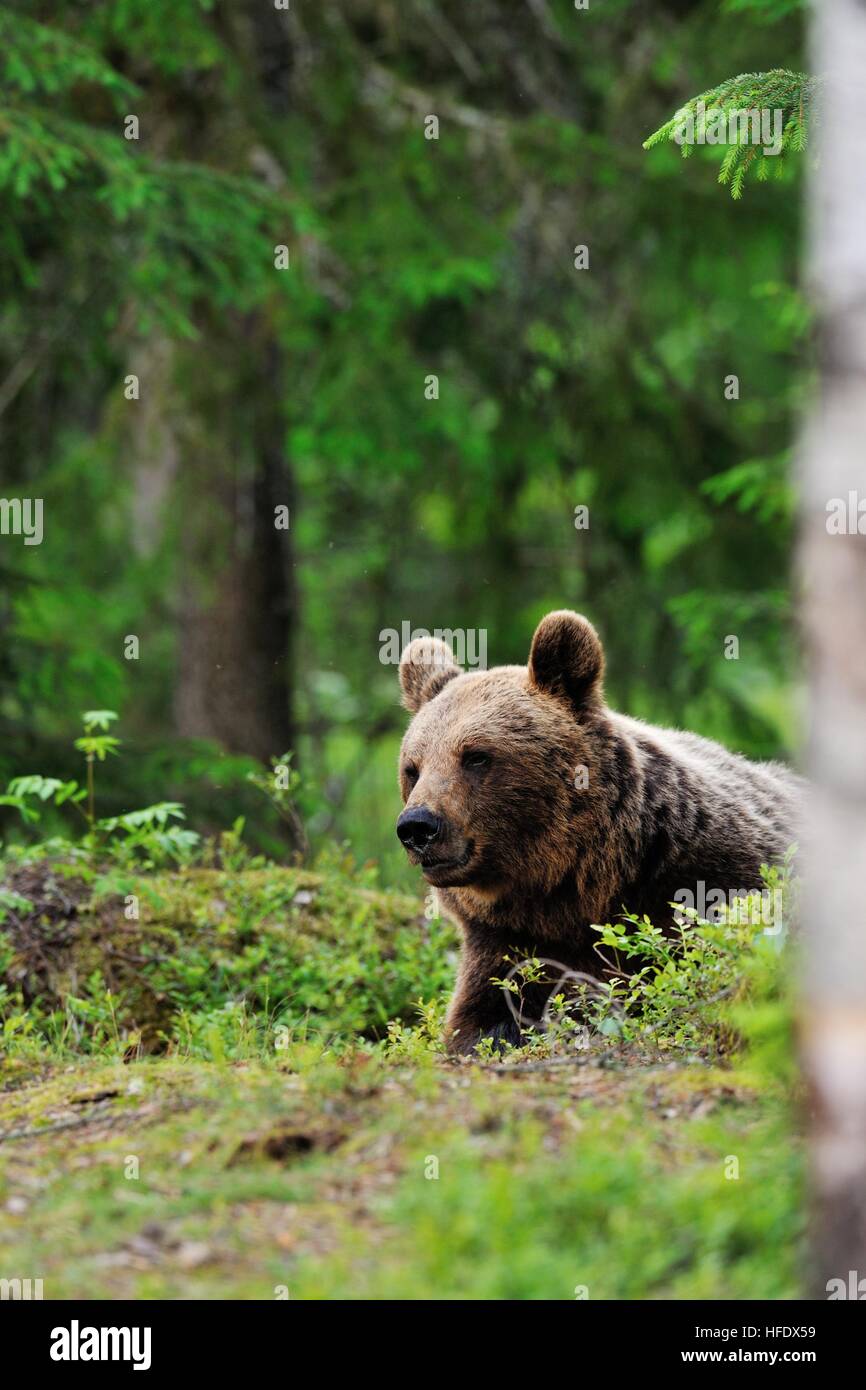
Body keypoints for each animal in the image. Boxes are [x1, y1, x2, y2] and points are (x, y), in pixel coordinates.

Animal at [395, 610, 805, 1055]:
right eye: (413, 768)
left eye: (476, 756)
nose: (417, 826)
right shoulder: (504, 943)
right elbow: (483, 1021)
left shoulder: (710, 879)